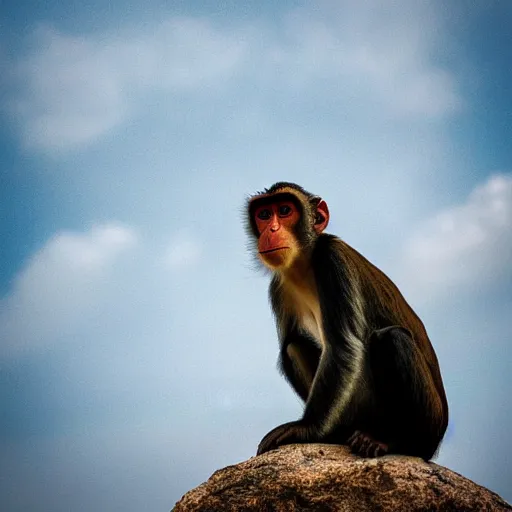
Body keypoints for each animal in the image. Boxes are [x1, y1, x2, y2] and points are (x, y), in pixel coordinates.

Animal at [247, 183, 448, 460]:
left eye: (285, 210)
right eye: (264, 215)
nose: (271, 230)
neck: (305, 263)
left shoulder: (333, 260)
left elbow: (343, 346)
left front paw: (304, 428)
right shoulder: (279, 286)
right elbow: (294, 341)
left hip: (422, 421)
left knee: (393, 338)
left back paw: (394, 441)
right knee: (294, 345)